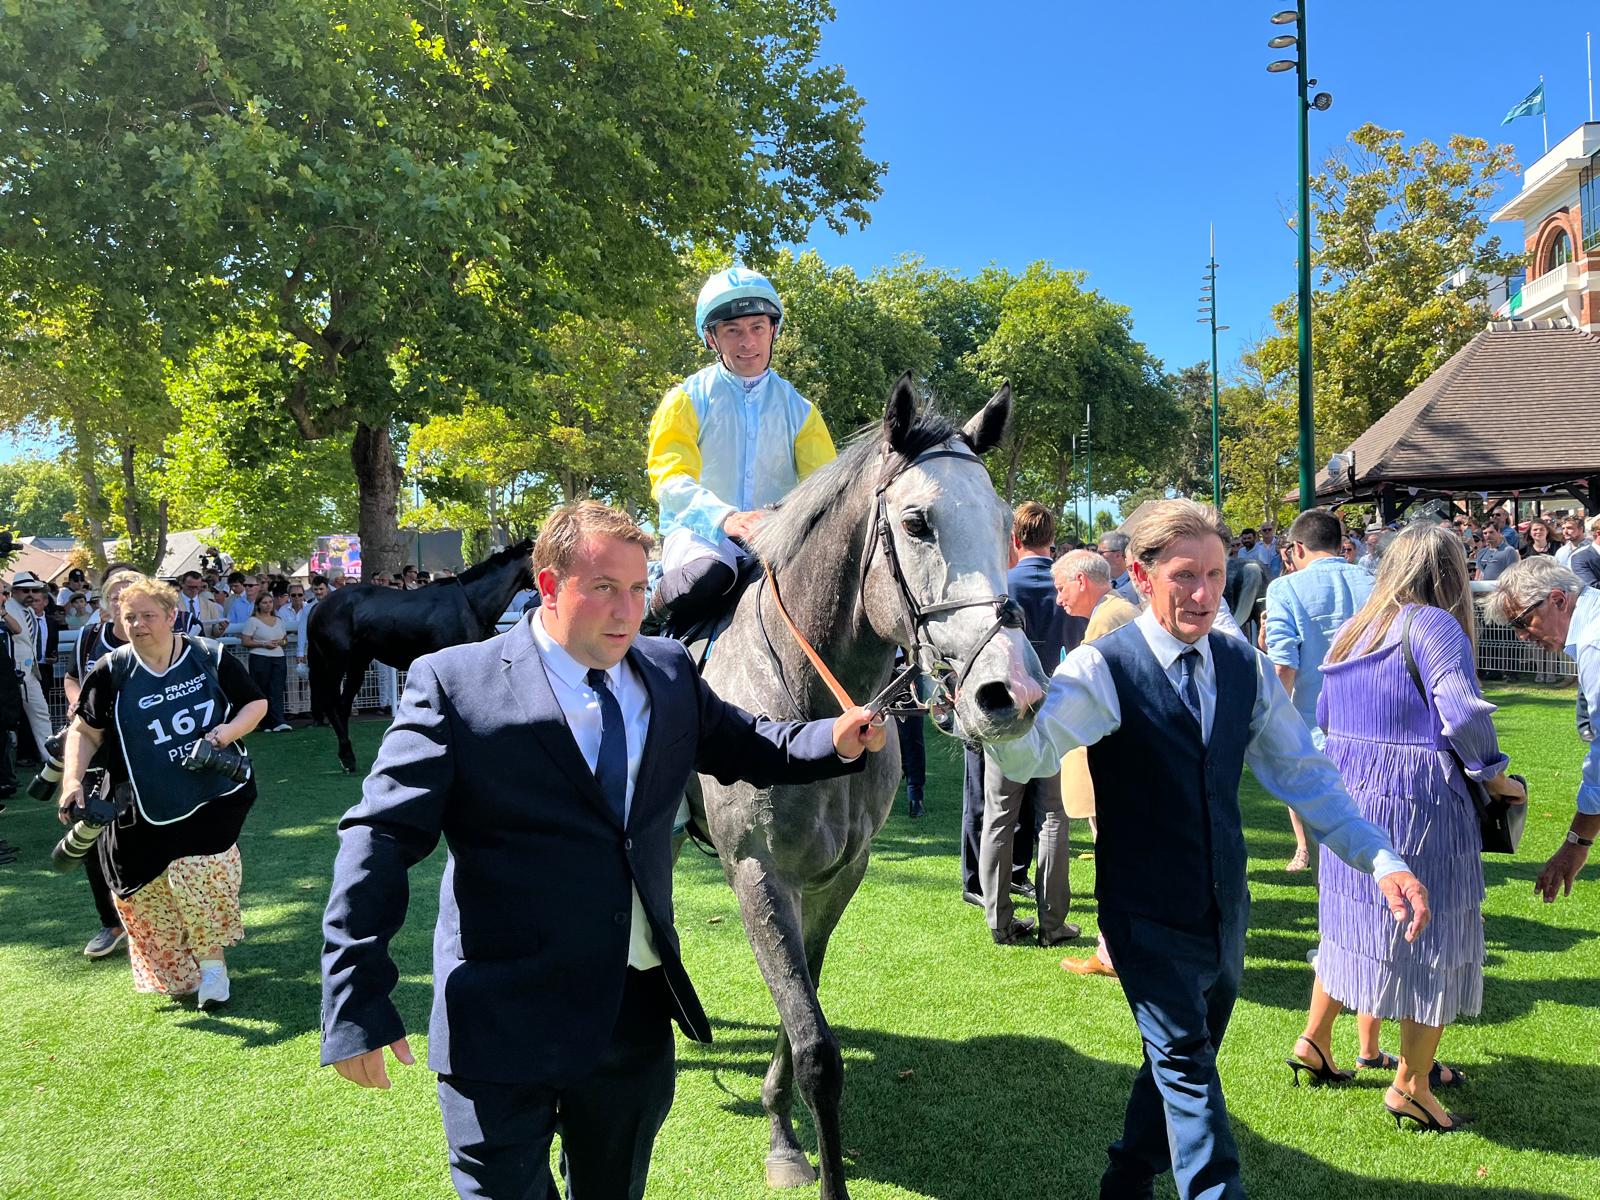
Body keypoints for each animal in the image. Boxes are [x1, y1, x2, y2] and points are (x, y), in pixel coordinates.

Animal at [307, 544, 537, 774]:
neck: (470, 604)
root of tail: (318, 607)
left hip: (358, 663)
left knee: (343, 705)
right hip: (336, 663)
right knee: (331, 703)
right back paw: (346, 757)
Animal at [691, 376, 1049, 1200]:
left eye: (1006, 525)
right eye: (917, 522)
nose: (1010, 692)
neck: (810, 713)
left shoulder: (837, 875)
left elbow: (804, 1010)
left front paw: (782, 1129)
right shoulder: (757, 874)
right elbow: (817, 1048)